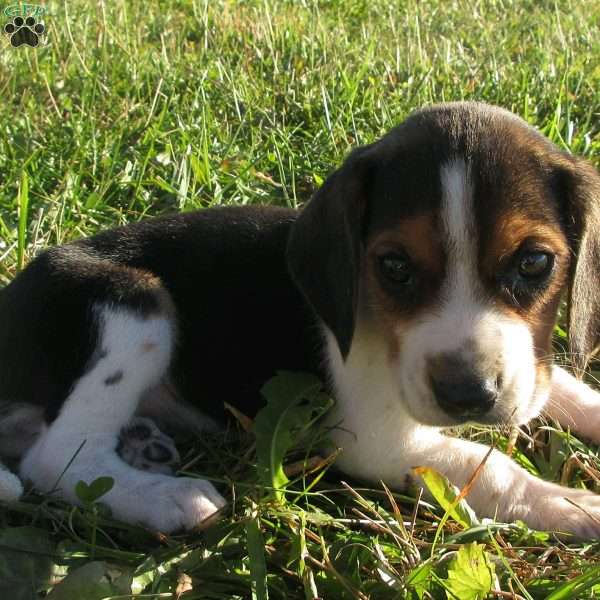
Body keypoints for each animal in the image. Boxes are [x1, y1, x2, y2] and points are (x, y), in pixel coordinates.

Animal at [1, 101, 600, 536]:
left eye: (535, 263)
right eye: (394, 267)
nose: (468, 395)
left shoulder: (534, 370)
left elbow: (567, 389)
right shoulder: (376, 439)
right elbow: (492, 467)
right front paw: (574, 506)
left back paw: (144, 445)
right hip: (133, 304)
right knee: (55, 457)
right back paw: (166, 497)